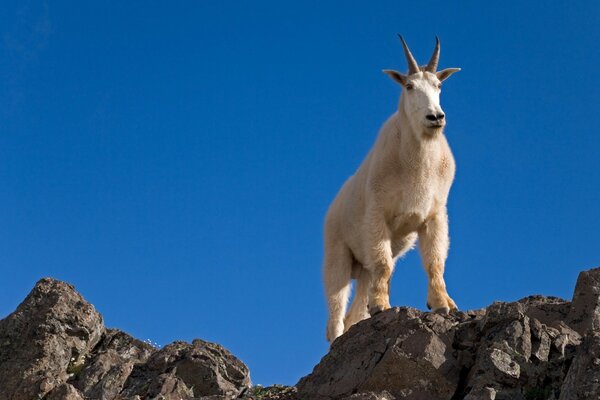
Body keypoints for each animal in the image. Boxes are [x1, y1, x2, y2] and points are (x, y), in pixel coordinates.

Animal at [324, 34, 460, 342]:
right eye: (409, 86)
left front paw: (443, 303)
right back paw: (337, 340)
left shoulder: (435, 215)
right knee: (336, 311)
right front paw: (382, 306)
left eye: (439, 86)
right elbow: (384, 264)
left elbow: (435, 261)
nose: (436, 117)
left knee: (355, 307)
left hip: (362, 268)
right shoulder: (378, 213)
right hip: (337, 254)